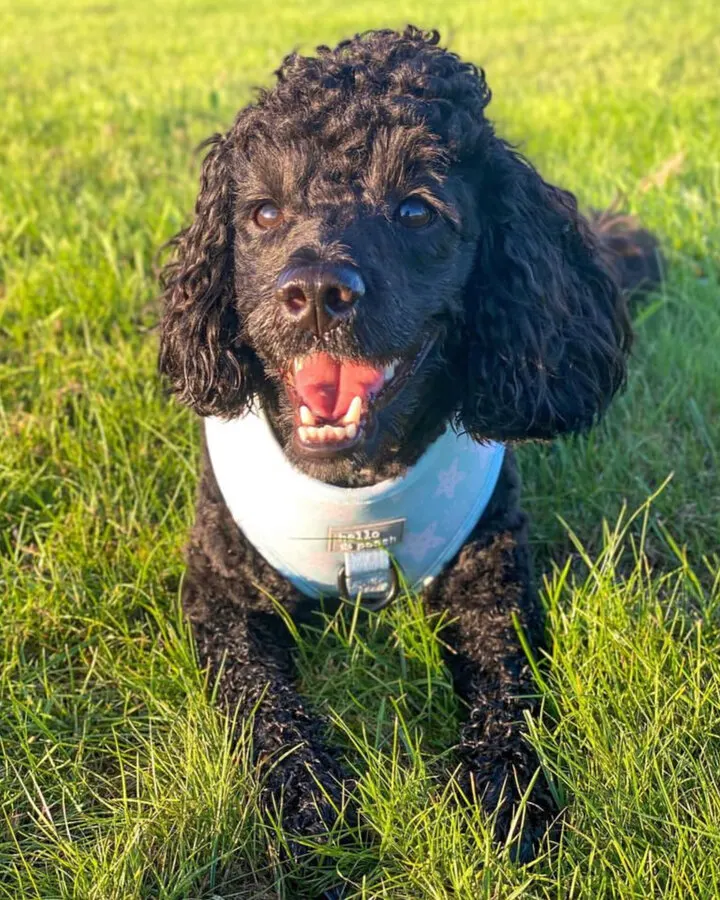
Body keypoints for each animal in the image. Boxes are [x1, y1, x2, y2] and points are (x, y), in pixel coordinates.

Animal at [160, 24, 660, 860]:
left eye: (415, 210)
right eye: (262, 212)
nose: (316, 291)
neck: (357, 488)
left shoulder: (493, 587)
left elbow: (509, 694)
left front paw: (507, 792)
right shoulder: (222, 597)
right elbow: (261, 698)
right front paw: (305, 791)